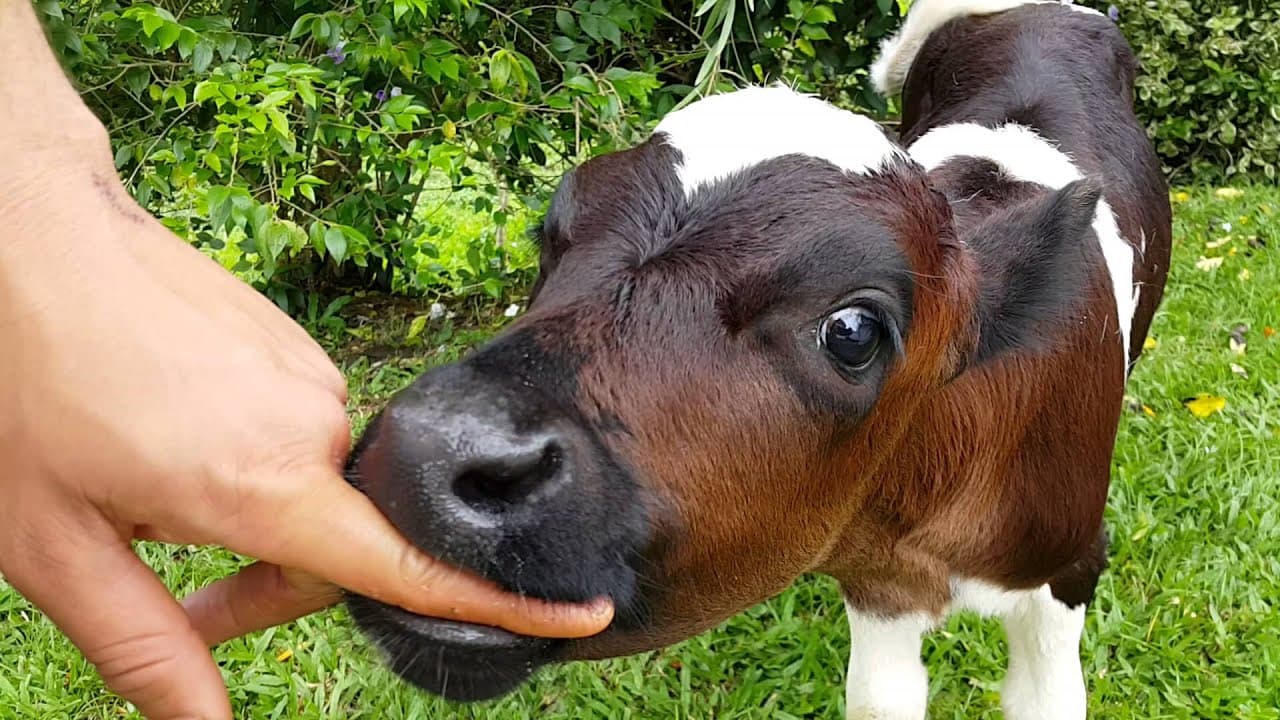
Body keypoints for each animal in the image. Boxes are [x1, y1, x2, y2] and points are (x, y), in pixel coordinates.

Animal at [343, 0, 1172, 717]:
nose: (426, 446)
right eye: (550, 237)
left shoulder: (1069, 568)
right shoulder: (879, 583)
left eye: (853, 330)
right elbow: (880, 699)